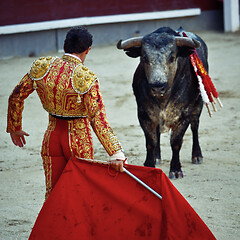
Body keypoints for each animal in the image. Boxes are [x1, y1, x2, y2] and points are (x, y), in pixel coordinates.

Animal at [116, 27, 208, 178]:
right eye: (144, 57)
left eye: (172, 57)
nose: (158, 86)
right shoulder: (144, 114)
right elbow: (151, 142)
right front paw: (149, 164)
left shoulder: (183, 116)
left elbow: (176, 143)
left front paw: (175, 169)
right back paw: (157, 157)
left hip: (198, 104)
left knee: (195, 127)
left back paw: (197, 155)